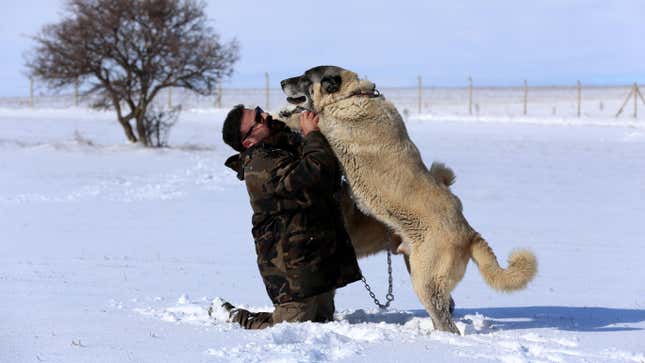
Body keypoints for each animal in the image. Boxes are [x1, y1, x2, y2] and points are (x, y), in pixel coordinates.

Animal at [280, 66, 536, 336]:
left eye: (306, 78)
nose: (283, 82)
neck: (351, 95)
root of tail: (469, 232)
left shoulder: (331, 125)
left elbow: (306, 119)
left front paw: (278, 114)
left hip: (426, 280)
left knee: (446, 322)